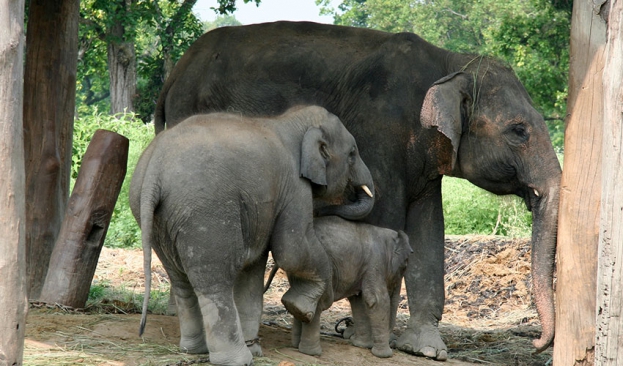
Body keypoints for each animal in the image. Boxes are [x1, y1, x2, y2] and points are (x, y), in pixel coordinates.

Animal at [286, 216, 414, 358]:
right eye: (405, 264)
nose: (393, 343)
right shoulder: (375, 262)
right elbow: (376, 300)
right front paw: (384, 355)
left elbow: (359, 300)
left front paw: (362, 345)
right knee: (318, 302)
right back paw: (312, 353)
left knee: (299, 300)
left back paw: (296, 345)